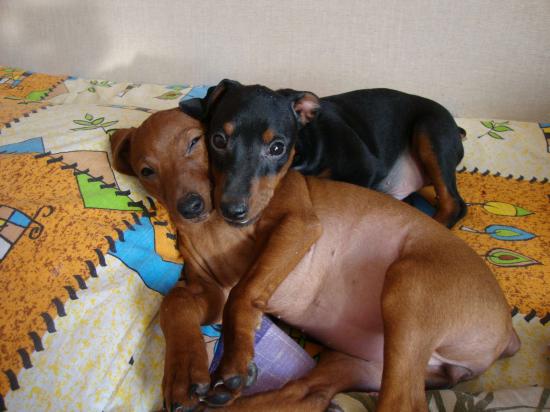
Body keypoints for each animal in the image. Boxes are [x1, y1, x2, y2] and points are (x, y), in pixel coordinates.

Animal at [111, 108, 518, 412]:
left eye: (195, 142)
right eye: (147, 171)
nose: (190, 207)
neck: (215, 228)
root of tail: (508, 332)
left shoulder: (297, 228)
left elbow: (243, 293)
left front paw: (235, 357)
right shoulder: (211, 293)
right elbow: (174, 302)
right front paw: (182, 371)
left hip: (408, 283)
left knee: (400, 403)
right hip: (357, 361)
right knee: (307, 394)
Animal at [181, 80, 466, 228]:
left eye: (277, 148)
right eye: (218, 140)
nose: (232, 210)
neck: (302, 152)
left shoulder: (364, 166)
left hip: (430, 129)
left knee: (454, 204)